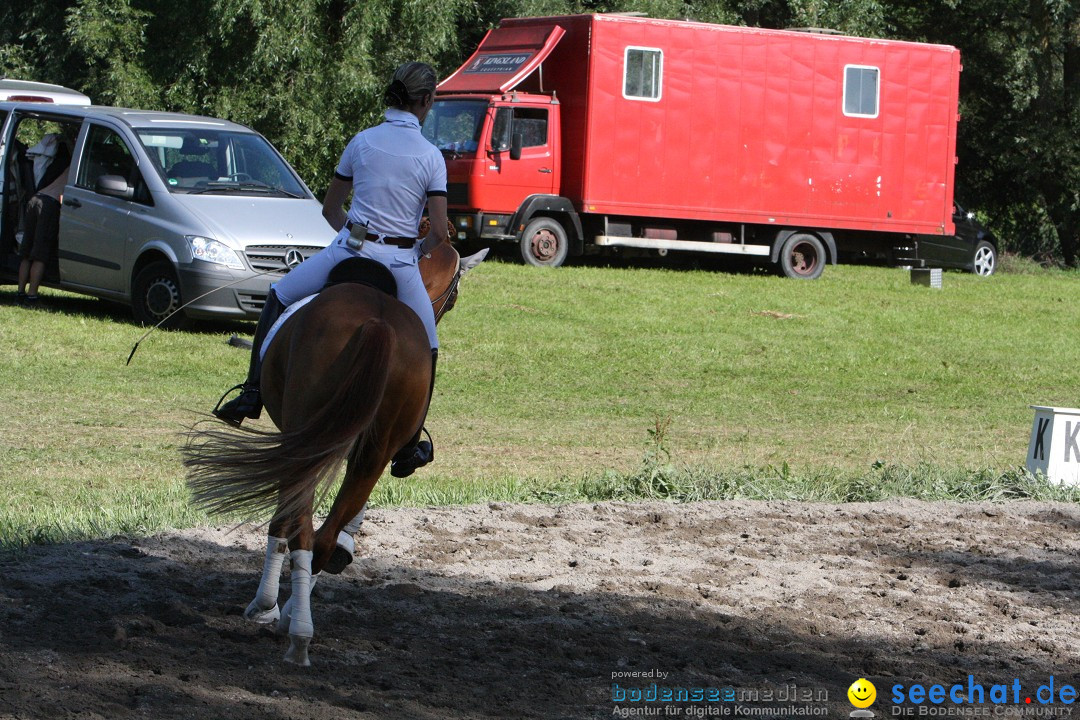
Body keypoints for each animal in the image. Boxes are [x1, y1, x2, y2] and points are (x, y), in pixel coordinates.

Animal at [186, 236, 490, 664]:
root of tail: (378, 323)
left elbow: (283, 520)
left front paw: (265, 606)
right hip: (373, 450)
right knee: (324, 538)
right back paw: (298, 623)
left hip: (309, 440)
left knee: (301, 528)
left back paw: (296, 634)